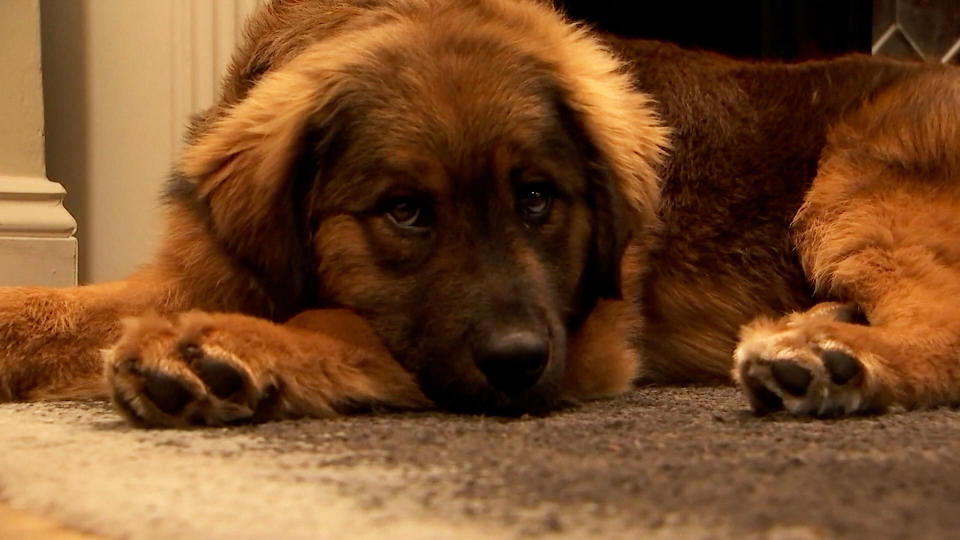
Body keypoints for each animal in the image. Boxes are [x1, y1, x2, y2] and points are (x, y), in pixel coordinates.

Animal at [1, 0, 960, 426]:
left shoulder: (589, 336)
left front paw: (221, 351)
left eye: (537, 197)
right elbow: (37, 309)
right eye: (404, 212)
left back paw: (833, 360)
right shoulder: (192, 269)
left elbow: (345, 324)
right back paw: (817, 329)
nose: (518, 360)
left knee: (944, 330)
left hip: (856, 179)